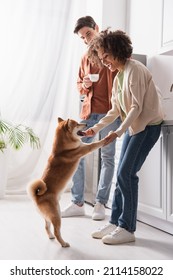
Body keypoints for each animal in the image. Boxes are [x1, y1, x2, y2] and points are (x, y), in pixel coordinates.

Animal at [27, 117, 107, 247]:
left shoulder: (82, 145)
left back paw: (51, 236)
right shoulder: (83, 149)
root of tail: (37, 197)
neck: (63, 149)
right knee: (57, 231)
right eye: (78, 124)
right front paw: (105, 139)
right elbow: (94, 144)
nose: (86, 123)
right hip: (56, 215)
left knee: (46, 227)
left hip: (49, 216)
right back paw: (63, 243)